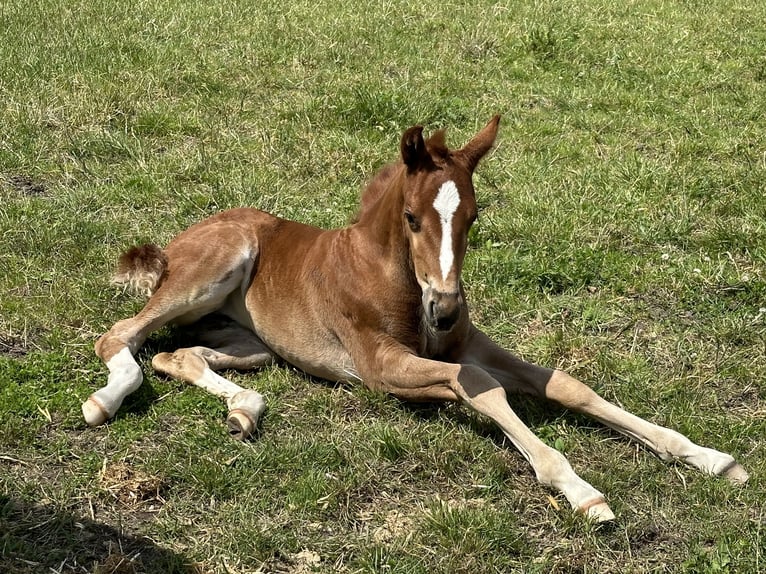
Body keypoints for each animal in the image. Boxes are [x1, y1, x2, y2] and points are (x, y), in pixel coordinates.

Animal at [85, 117, 752, 520]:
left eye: (474, 217)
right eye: (411, 217)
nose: (446, 307)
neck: (393, 276)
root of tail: (181, 238)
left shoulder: (467, 343)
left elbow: (566, 384)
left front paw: (706, 457)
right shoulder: (382, 368)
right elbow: (478, 389)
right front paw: (581, 490)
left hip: (254, 344)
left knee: (177, 353)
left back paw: (244, 411)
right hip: (213, 267)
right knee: (120, 337)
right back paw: (104, 401)